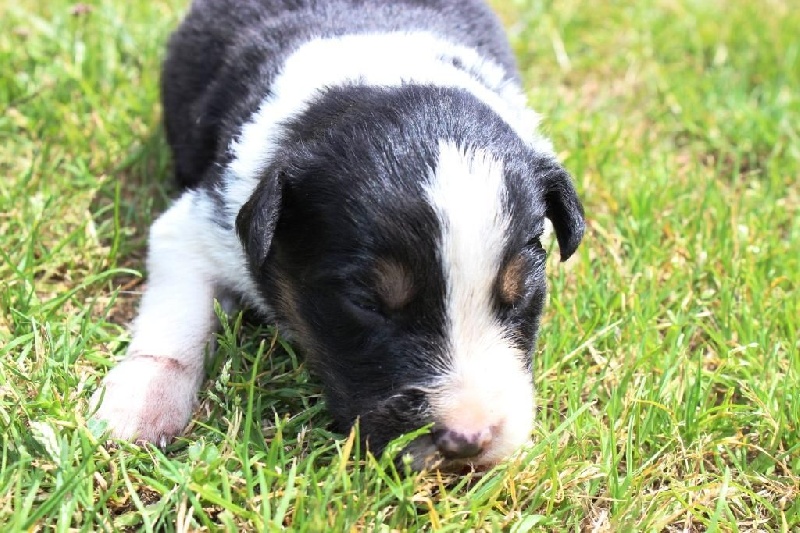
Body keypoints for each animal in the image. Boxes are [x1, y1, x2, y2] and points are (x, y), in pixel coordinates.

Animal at [90, 0, 585, 471]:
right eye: (365, 302)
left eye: (521, 294)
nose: (467, 440)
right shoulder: (198, 224)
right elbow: (177, 319)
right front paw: (142, 403)